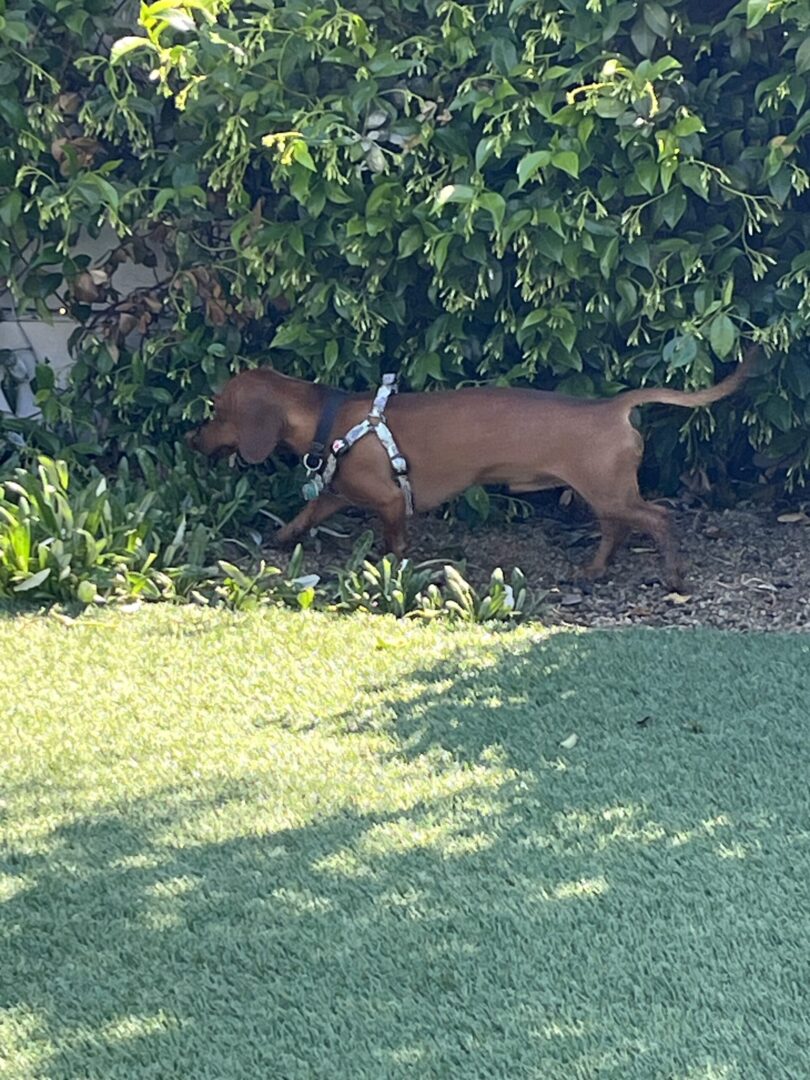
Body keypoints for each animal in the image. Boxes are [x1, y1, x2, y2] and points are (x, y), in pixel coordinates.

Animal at [186, 352, 760, 591]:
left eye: (217, 412)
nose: (193, 440)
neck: (332, 417)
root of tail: (611, 407)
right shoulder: (336, 493)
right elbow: (306, 513)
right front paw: (281, 537)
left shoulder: (388, 502)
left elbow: (392, 540)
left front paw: (392, 566)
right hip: (604, 494)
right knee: (616, 530)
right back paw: (594, 571)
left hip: (610, 493)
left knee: (657, 518)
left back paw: (672, 576)